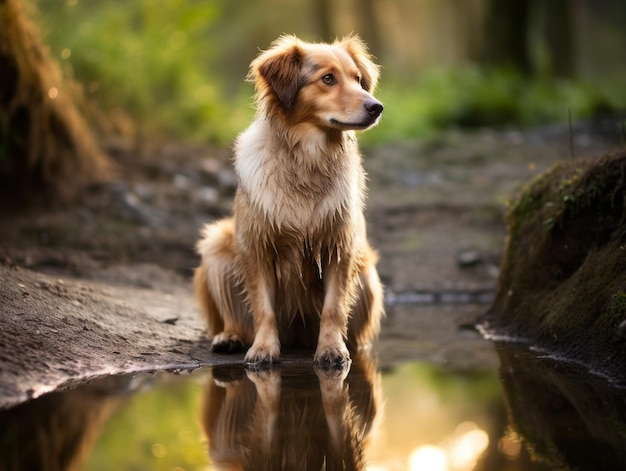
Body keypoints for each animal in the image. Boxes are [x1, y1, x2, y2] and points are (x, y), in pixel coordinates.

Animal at [193, 34, 382, 368]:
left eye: (358, 79)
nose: (377, 107)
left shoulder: (340, 246)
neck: (307, 157)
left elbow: (334, 308)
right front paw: (264, 349)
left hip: (368, 274)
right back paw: (229, 337)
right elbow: (263, 308)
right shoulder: (256, 246)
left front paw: (331, 349)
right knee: (234, 320)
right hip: (217, 245)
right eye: (328, 79)